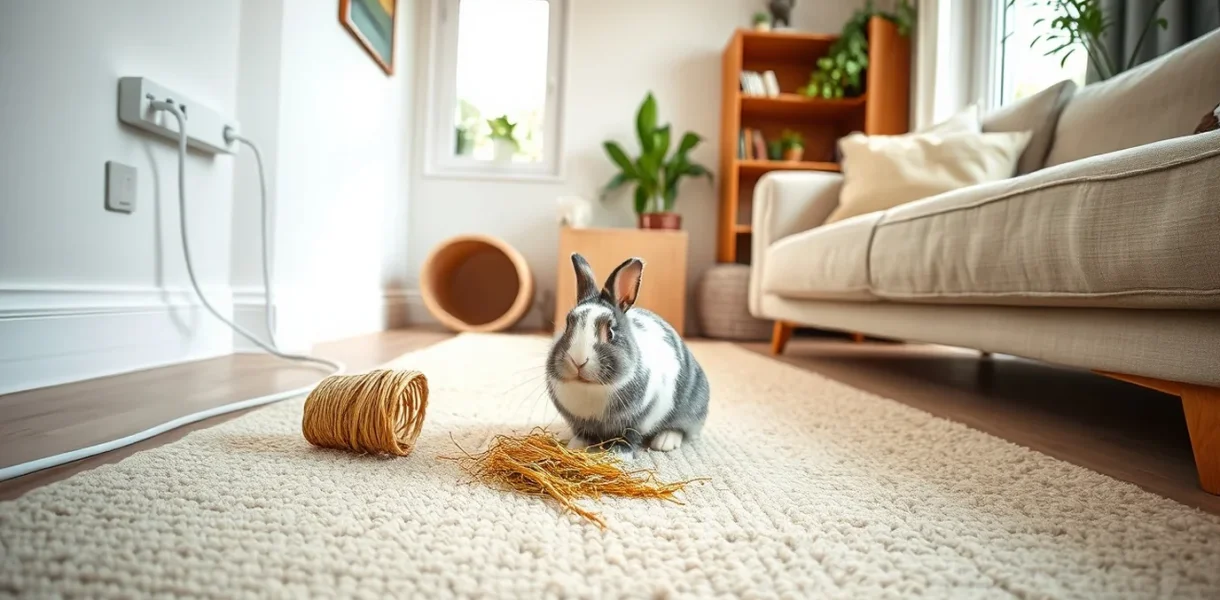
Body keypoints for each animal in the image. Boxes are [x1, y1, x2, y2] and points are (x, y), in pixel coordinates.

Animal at [545, 253, 710, 459]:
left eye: (610, 333)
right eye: (567, 326)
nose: (578, 361)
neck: (591, 389)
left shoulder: (636, 422)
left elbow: (627, 438)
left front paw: (617, 455)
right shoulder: (580, 422)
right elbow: (583, 432)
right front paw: (575, 446)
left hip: (690, 409)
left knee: (682, 429)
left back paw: (665, 442)